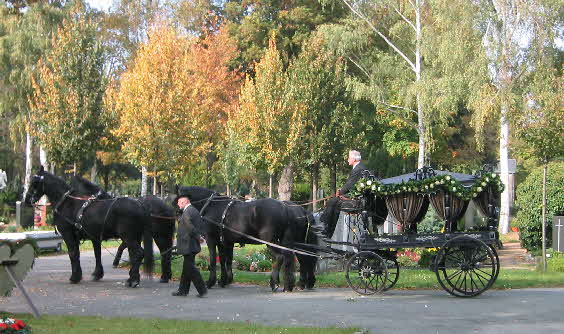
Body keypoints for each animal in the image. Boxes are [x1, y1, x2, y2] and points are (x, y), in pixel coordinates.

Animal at [24, 167, 154, 288]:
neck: (67, 202)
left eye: (35, 182)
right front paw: (96, 274)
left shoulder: (68, 234)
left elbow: (73, 253)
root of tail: (140, 205)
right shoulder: (93, 237)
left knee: (138, 253)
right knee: (134, 255)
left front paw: (75, 277)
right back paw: (131, 278)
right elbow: (95, 253)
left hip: (129, 237)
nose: (26, 201)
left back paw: (134, 280)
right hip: (135, 237)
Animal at [174, 185, 320, 292]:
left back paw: (275, 283)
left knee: (282, 257)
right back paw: (292, 284)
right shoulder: (225, 242)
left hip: (271, 241)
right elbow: (225, 260)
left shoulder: (211, 239)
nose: (178, 217)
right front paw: (225, 280)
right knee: (296, 259)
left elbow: (213, 260)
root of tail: (286, 208)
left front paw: (211, 281)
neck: (212, 206)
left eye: (176, 200)